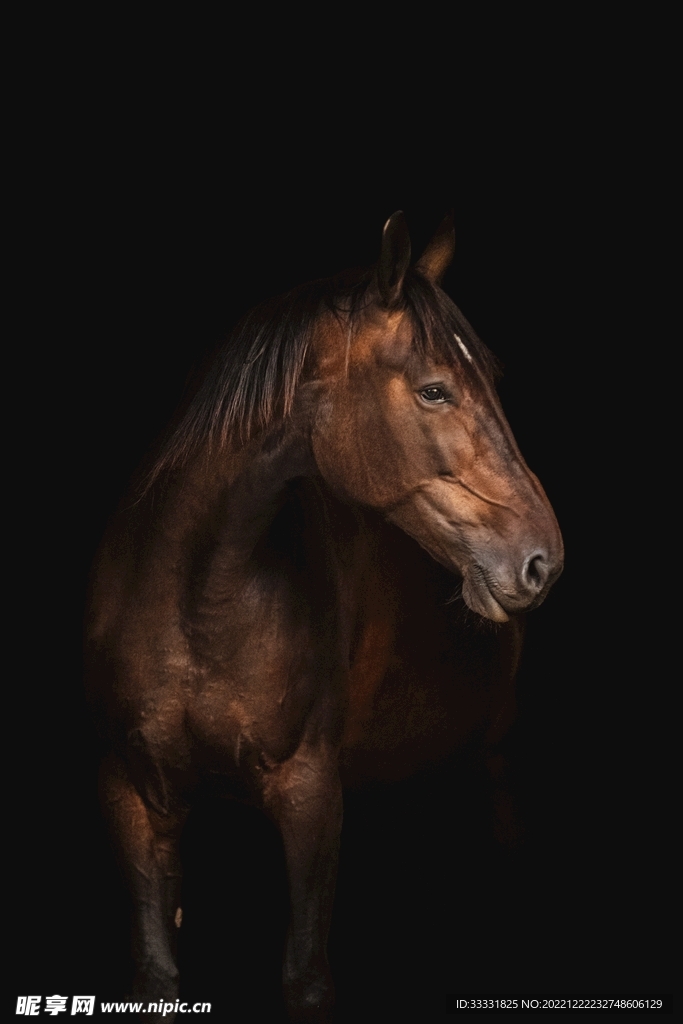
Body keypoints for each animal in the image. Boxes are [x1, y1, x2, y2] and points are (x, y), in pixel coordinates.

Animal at [85, 211, 563, 1022]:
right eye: (434, 390)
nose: (542, 559)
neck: (195, 605)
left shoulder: (310, 795)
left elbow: (305, 977)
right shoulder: (133, 796)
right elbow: (155, 972)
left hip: (495, 757)